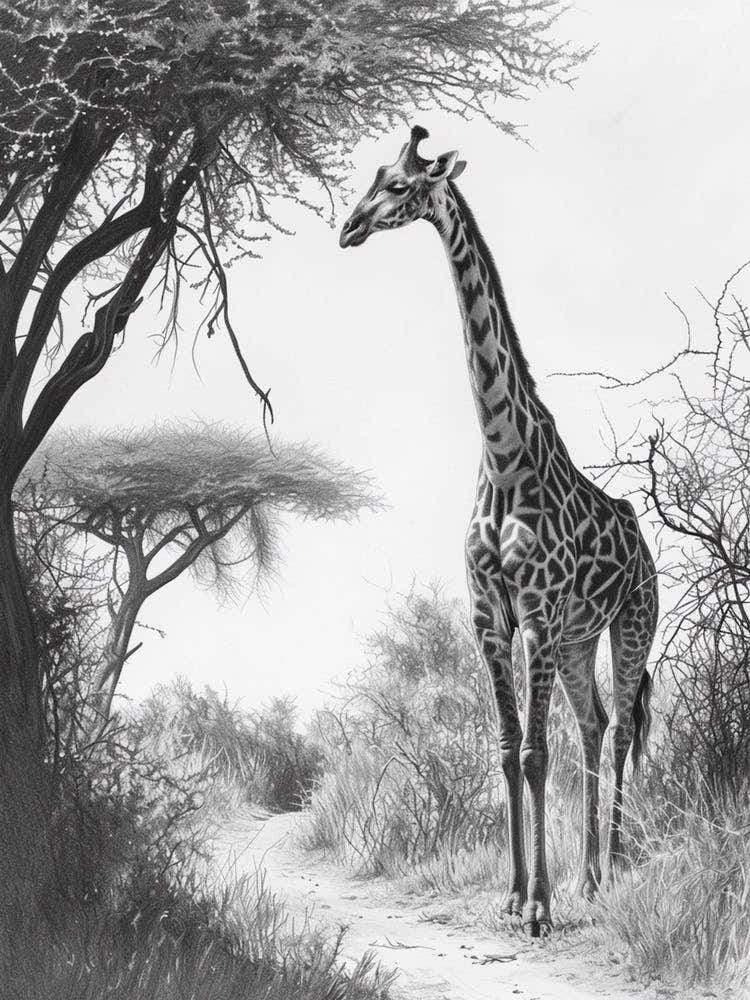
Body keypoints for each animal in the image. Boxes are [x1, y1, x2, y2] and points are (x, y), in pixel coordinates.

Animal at [339, 126, 659, 937]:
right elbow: (512, 748)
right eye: (373, 175)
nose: (348, 228)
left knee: (623, 728)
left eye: (399, 186)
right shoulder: (490, 615)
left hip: (630, 624)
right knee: (597, 724)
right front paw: (516, 894)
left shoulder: (537, 614)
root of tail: (646, 551)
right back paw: (591, 878)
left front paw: (539, 906)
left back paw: (618, 867)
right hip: (578, 641)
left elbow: (539, 752)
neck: (503, 453)